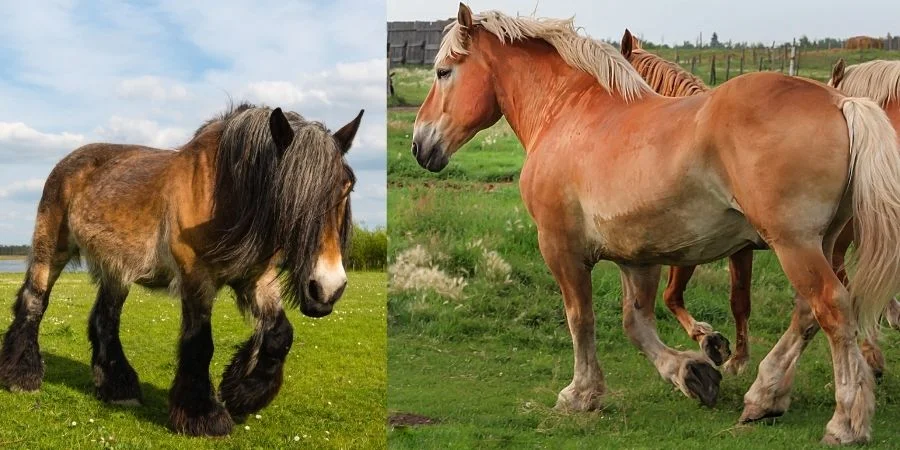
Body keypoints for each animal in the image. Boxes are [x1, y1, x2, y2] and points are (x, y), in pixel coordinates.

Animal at [0, 103, 363, 436]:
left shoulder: (256, 278)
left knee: (105, 319)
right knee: (34, 302)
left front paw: (242, 394)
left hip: (117, 270)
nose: (327, 288)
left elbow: (279, 335)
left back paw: (119, 388)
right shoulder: (195, 277)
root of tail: (67, 162)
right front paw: (204, 415)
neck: (223, 194)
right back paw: (22, 376)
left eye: (347, 187)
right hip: (51, 249)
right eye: (289, 193)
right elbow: (200, 342)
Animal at [412, 5, 900, 444]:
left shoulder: (560, 247)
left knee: (831, 307)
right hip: (822, 243)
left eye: (442, 72)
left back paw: (845, 422)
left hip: (794, 244)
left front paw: (581, 394)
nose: (419, 144)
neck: (567, 113)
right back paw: (765, 397)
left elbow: (580, 317)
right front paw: (693, 372)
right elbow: (637, 323)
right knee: (808, 313)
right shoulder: (638, 258)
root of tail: (842, 101)